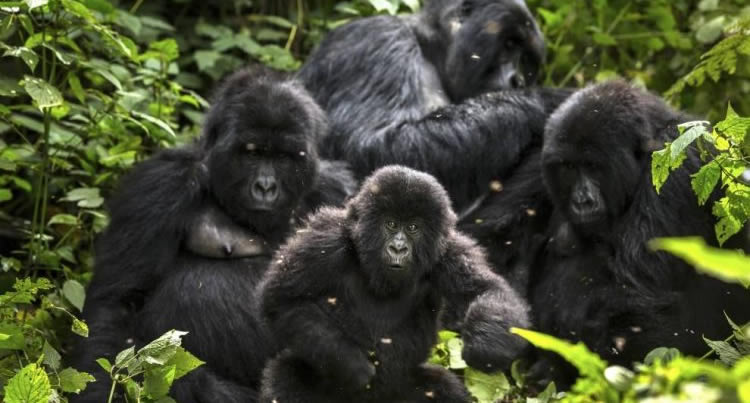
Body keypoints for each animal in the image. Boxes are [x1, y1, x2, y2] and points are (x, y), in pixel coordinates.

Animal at [68, 69, 358, 403]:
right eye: (252, 153)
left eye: (284, 157)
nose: (266, 187)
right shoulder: (161, 183)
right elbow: (118, 301)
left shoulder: (338, 190)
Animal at [260, 166, 536, 402]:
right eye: (391, 223)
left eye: (413, 227)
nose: (398, 248)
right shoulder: (327, 239)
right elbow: (281, 298)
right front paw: (351, 364)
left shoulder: (449, 251)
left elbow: (486, 290)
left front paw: (484, 345)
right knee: (286, 378)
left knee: (443, 387)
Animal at [296, 0, 572, 211]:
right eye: (509, 44)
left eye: (526, 60)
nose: (518, 81)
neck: (429, 48)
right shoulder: (377, 41)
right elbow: (377, 149)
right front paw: (549, 100)